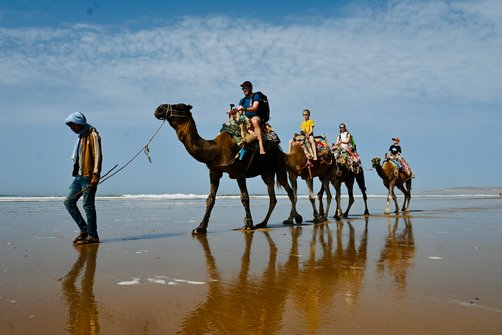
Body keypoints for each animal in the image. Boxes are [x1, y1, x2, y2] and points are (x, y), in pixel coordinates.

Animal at [155, 103, 300, 235]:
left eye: (179, 106)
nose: (159, 108)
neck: (215, 150)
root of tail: (279, 149)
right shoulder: (214, 172)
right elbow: (210, 199)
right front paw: (200, 228)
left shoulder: (239, 173)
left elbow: (245, 198)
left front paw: (248, 225)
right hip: (266, 173)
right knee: (273, 197)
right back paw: (263, 223)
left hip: (279, 168)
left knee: (290, 192)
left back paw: (294, 219)